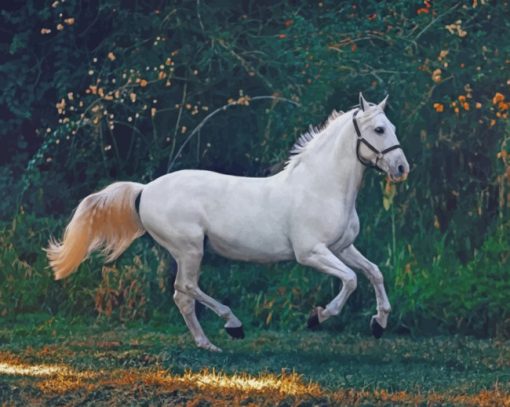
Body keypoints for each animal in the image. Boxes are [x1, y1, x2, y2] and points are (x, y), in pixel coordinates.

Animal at [45, 94, 408, 352]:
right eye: (379, 129)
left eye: (392, 127)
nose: (402, 168)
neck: (321, 187)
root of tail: (144, 190)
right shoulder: (311, 253)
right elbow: (350, 280)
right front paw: (317, 317)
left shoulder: (342, 247)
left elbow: (373, 272)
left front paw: (379, 323)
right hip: (190, 249)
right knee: (186, 288)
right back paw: (233, 325)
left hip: (187, 252)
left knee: (182, 296)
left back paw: (208, 344)